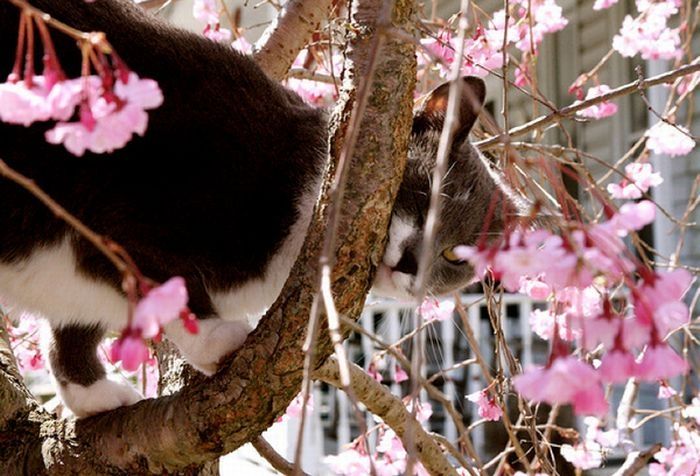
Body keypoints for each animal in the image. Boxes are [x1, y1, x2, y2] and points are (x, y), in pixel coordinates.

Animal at [0, 0, 516, 416]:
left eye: (454, 256)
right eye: (424, 193)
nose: (411, 263)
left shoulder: (77, 274)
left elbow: (72, 323)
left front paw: (91, 394)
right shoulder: (127, 206)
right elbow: (155, 273)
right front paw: (215, 340)